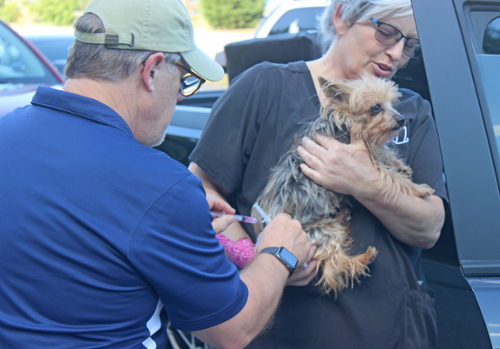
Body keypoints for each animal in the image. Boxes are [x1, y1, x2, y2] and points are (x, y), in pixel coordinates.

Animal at [252, 75, 436, 294]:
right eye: (375, 108)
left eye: (394, 104)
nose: (402, 119)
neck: (348, 125)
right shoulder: (371, 162)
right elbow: (393, 179)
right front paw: (418, 189)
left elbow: (388, 155)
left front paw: (402, 166)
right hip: (319, 233)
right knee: (334, 266)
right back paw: (364, 258)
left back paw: (344, 218)